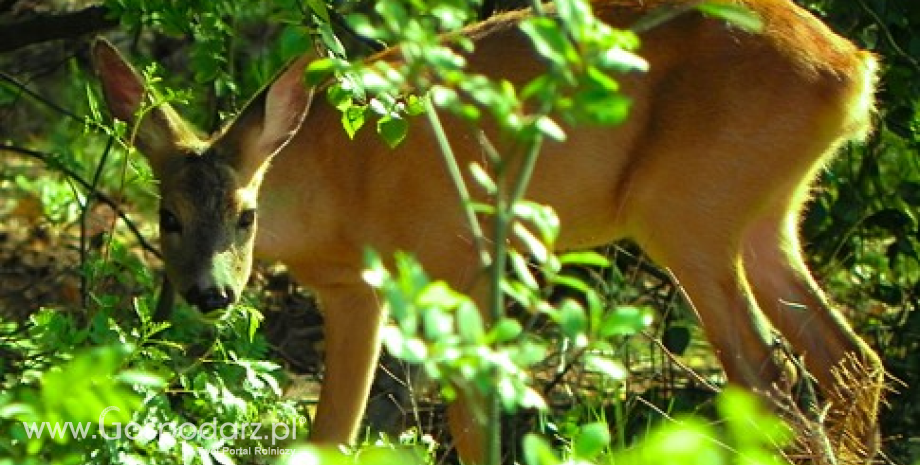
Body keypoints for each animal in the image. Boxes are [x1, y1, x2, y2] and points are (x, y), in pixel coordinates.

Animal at [91, 0, 884, 462]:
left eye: (245, 214)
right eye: (169, 217)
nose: (210, 293)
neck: (339, 179)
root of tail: (853, 67)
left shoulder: (463, 258)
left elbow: (473, 420)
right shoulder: (355, 291)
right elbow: (333, 430)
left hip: (688, 209)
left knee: (772, 381)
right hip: (767, 213)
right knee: (850, 359)